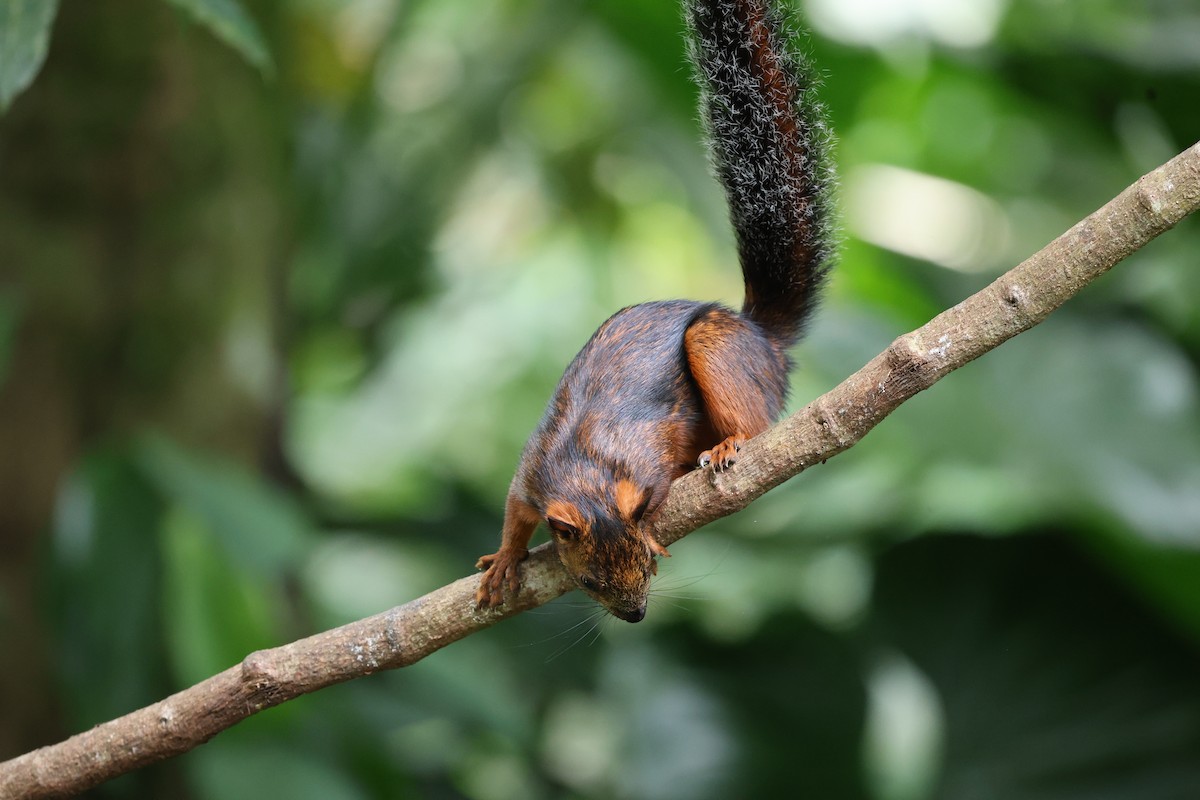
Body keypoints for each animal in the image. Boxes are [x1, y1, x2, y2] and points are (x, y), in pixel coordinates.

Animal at [475, 0, 833, 622]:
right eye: (588, 581)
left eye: (648, 565)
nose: (635, 614)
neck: (589, 471)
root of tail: (760, 333)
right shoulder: (532, 473)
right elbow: (515, 514)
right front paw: (505, 559)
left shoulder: (648, 456)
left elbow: (654, 493)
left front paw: (653, 527)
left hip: (718, 345)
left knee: (756, 422)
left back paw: (731, 444)